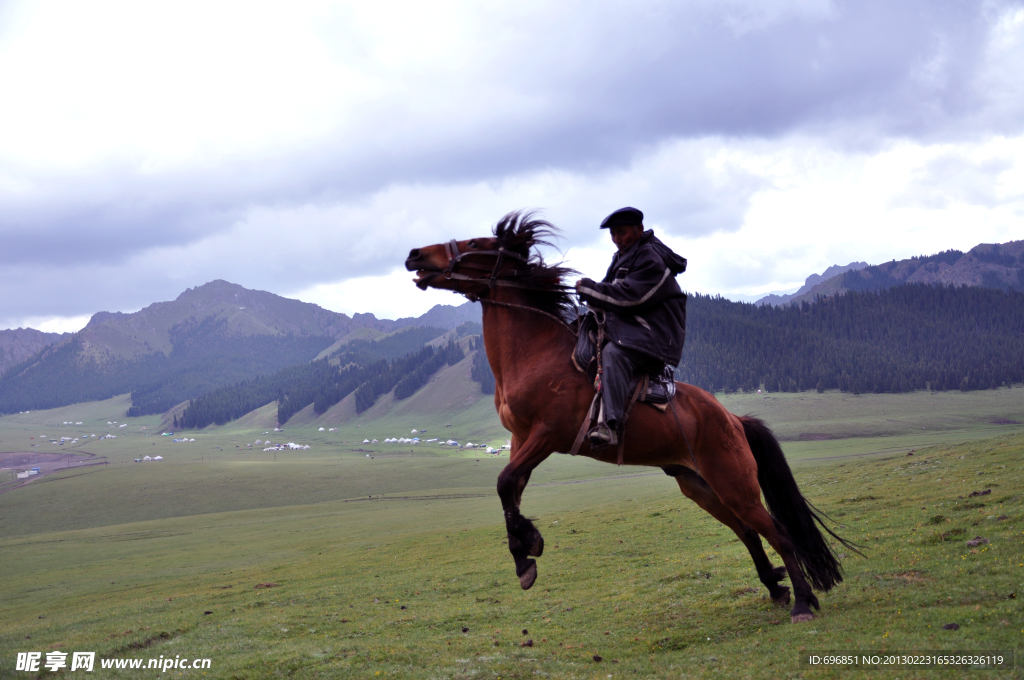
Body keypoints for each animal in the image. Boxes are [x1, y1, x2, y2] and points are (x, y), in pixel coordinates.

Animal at [403, 213, 860, 622]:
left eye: (476, 243)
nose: (413, 255)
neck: (537, 353)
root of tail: (732, 419)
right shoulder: (521, 440)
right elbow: (509, 493)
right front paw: (525, 554)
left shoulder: (547, 435)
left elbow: (503, 483)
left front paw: (528, 549)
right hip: (698, 485)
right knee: (747, 531)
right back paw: (776, 588)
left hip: (735, 484)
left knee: (777, 532)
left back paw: (802, 602)